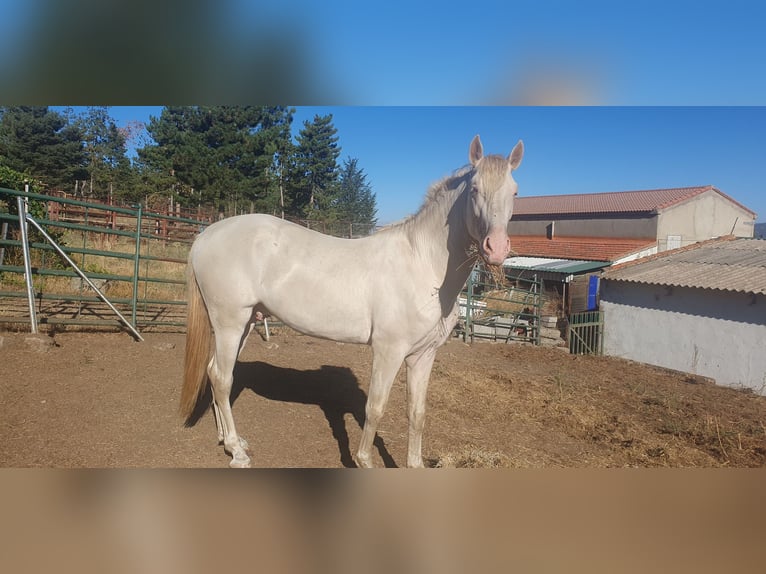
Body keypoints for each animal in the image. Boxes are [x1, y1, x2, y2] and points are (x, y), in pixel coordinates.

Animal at [183, 135, 524, 468]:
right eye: (475, 189)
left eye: (515, 192)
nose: (496, 248)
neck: (422, 264)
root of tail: (206, 235)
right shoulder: (388, 351)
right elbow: (375, 408)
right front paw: (363, 461)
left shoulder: (423, 355)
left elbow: (417, 413)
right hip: (230, 323)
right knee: (222, 378)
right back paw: (237, 453)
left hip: (246, 323)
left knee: (215, 373)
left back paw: (229, 441)